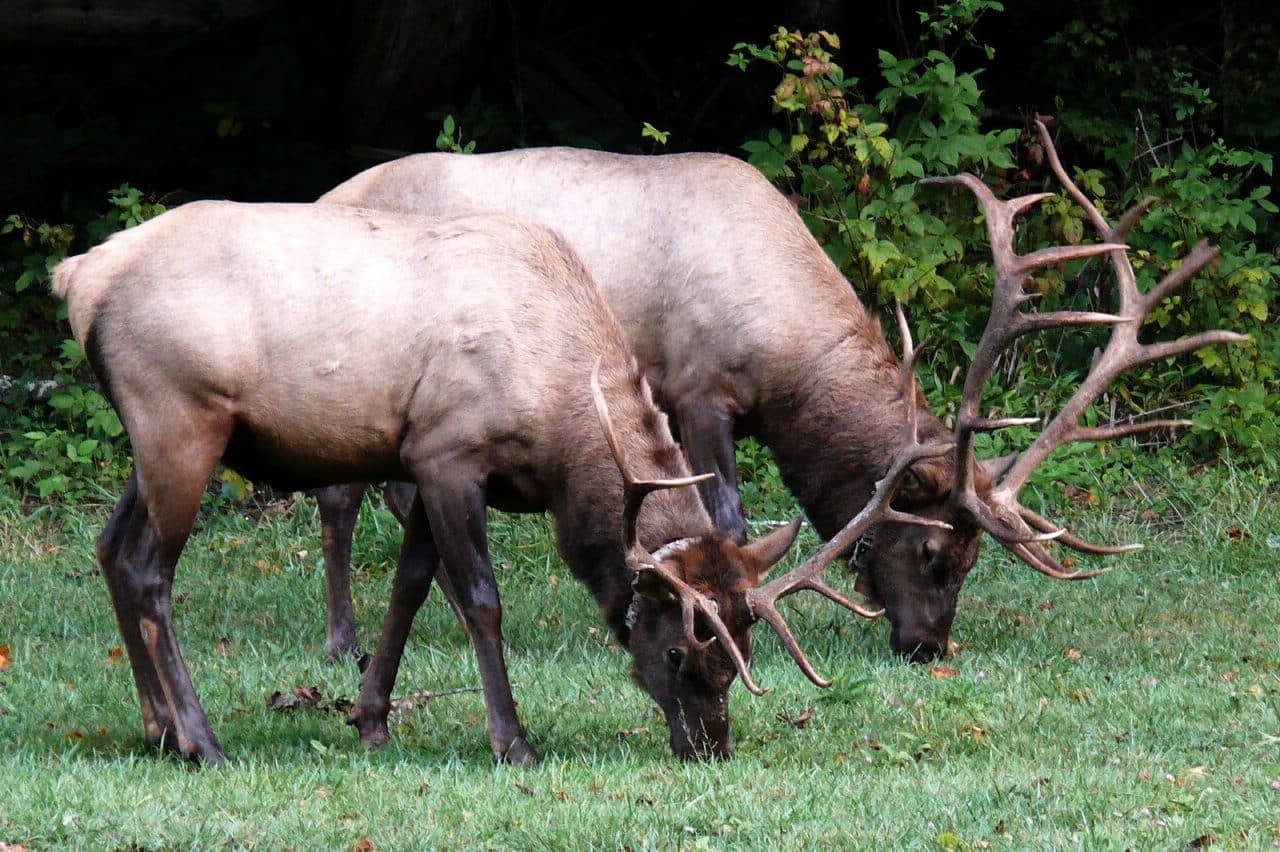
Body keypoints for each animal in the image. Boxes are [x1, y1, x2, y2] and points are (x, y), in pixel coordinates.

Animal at [51, 201, 946, 764]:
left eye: (744, 643)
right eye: (680, 649)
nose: (710, 746)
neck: (561, 427)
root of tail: (78, 277)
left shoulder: (418, 457)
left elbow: (410, 586)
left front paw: (371, 720)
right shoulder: (449, 452)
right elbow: (478, 597)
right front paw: (511, 738)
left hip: (158, 439)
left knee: (108, 547)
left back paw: (156, 727)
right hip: (180, 417)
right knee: (149, 571)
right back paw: (201, 741)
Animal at [312, 119, 1245, 663]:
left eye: (975, 561)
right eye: (936, 556)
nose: (928, 646)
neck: (786, 357)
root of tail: (327, 191)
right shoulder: (696, 388)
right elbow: (723, 516)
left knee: (389, 492)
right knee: (340, 496)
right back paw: (341, 640)